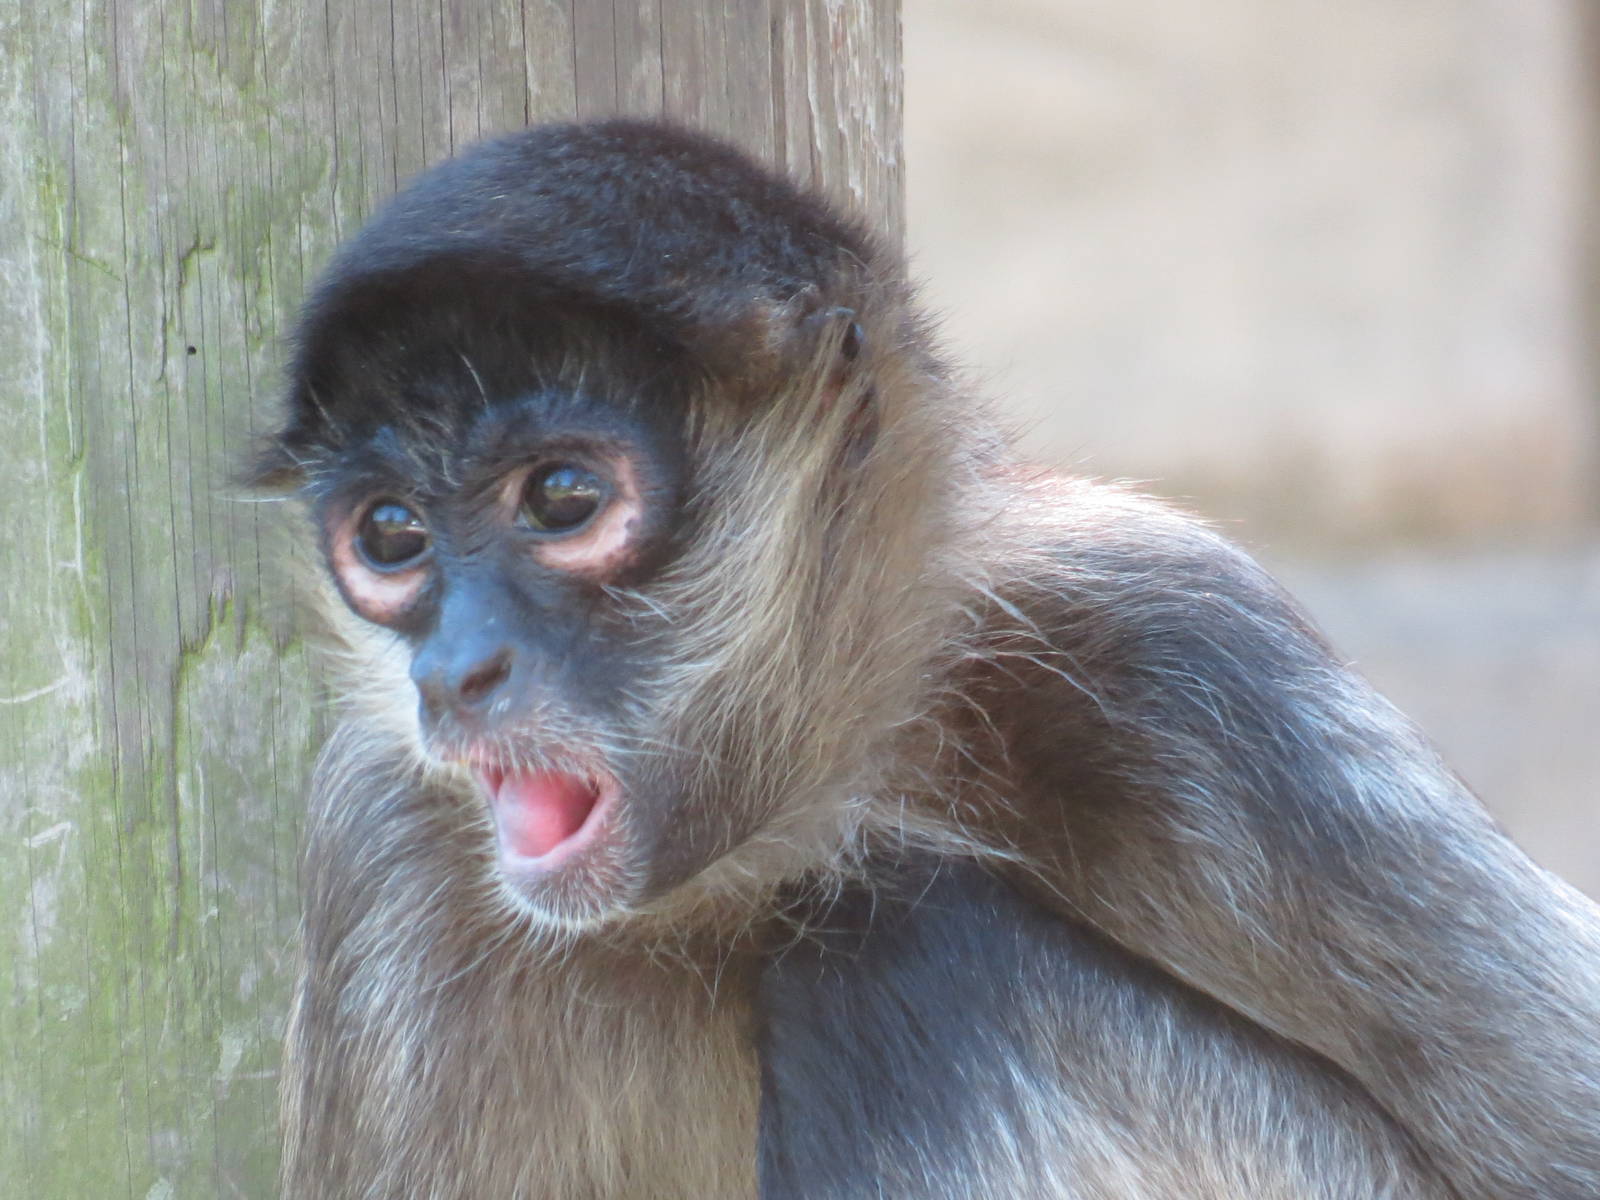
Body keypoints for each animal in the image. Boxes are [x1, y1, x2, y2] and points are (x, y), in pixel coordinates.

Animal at [252, 119, 1600, 1199]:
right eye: (390, 535)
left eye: (564, 499)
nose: (455, 671)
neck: (763, 860)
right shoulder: (388, 837)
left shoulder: (1179, 643)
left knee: (906, 951)